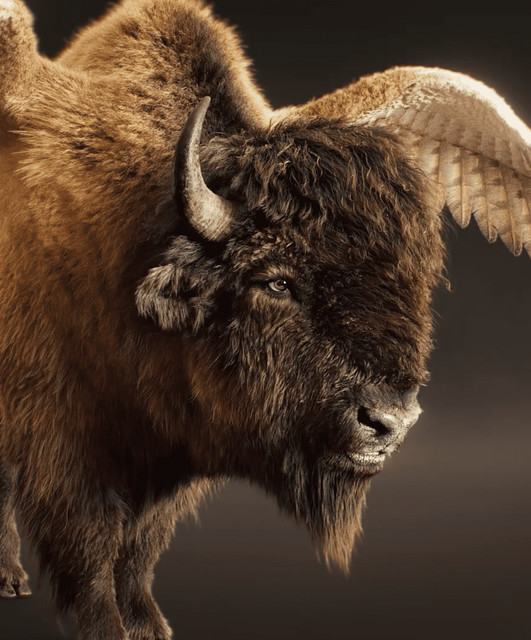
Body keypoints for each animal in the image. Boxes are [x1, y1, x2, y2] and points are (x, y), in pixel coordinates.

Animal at [0, 1, 529, 639]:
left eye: (410, 278)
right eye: (276, 281)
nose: (389, 423)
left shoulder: (174, 454)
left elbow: (140, 545)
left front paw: (149, 623)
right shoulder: (65, 444)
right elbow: (91, 549)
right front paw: (109, 627)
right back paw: (9, 578)